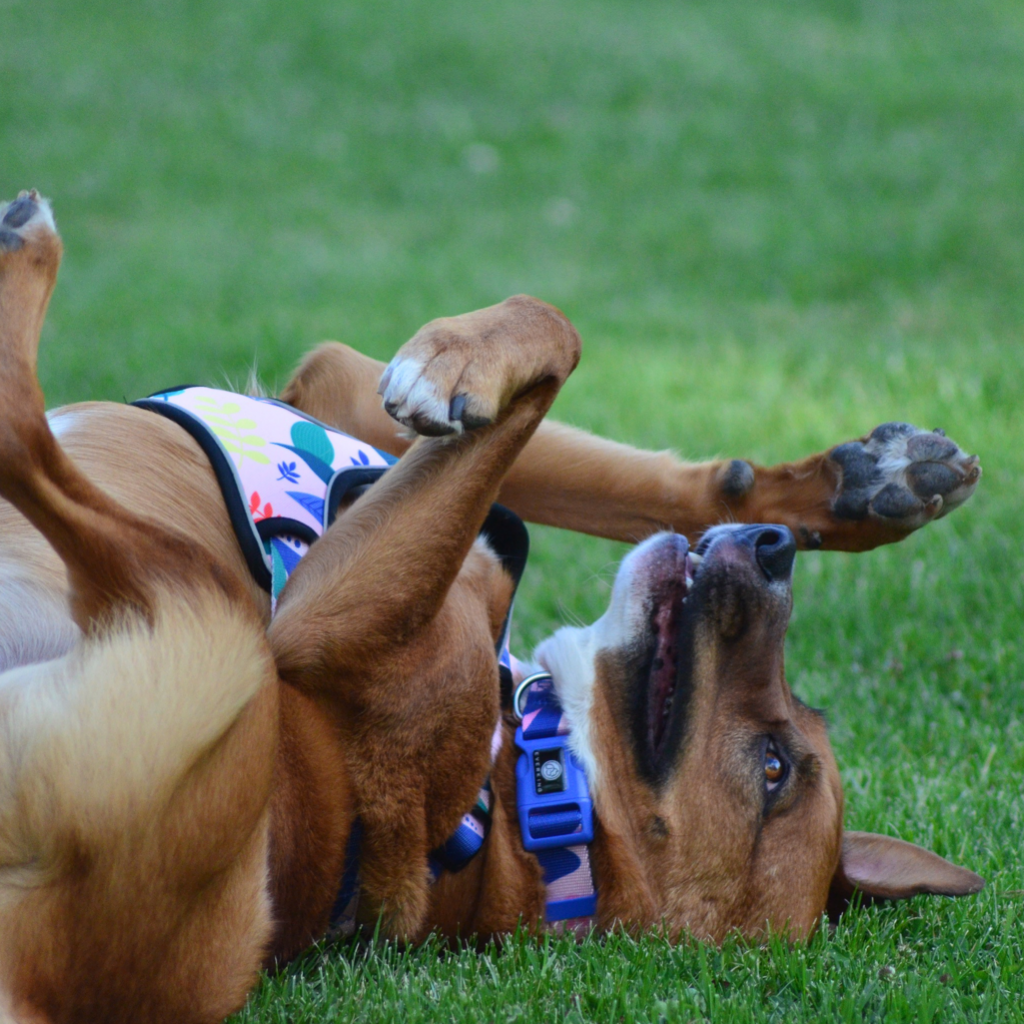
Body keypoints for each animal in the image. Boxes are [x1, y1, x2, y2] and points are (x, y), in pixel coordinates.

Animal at [0, 193, 983, 1024]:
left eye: (776, 767)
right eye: (799, 722)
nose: (773, 554)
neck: (504, 799)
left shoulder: (318, 621)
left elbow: (555, 340)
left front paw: (451, 365)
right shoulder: (340, 390)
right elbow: (591, 414)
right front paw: (848, 488)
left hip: (203, 619)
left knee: (30, 442)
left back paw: (28, 251)